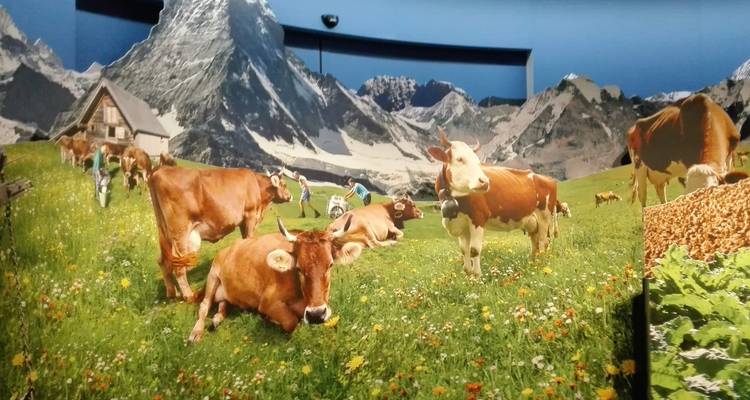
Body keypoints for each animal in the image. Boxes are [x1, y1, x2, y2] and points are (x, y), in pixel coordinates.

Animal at [149, 166, 293, 302]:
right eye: (284, 184)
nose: (291, 196)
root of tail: (158, 173)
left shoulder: (243, 222)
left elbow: (244, 241)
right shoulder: (250, 216)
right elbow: (250, 238)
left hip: (164, 230)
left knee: (163, 261)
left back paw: (172, 293)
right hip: (180, 230)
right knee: (178, 264)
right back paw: (188, 295)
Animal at [188, 217, 363, 340]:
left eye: (330, 265)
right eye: (298, 268)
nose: (316, 315)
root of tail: (227, 249)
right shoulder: (267, 303)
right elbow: (291, 321)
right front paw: (270, 319)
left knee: (224, 303)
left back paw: (217, 319)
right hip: (213, 276)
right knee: (204, 305)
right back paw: (195, 333)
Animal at [428, 129, 558, 277]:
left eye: (478, 162)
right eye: (459, 159)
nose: (484, 182)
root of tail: (546, 178)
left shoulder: (478, 218)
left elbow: (474, 250)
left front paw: (477, 276)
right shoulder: (462, 225)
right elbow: (464, 250)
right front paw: (468, 275)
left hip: (544, 217)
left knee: (543, 241)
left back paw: (541, 265)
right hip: (532, 222)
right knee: (535, 242)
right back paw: (532, 263)